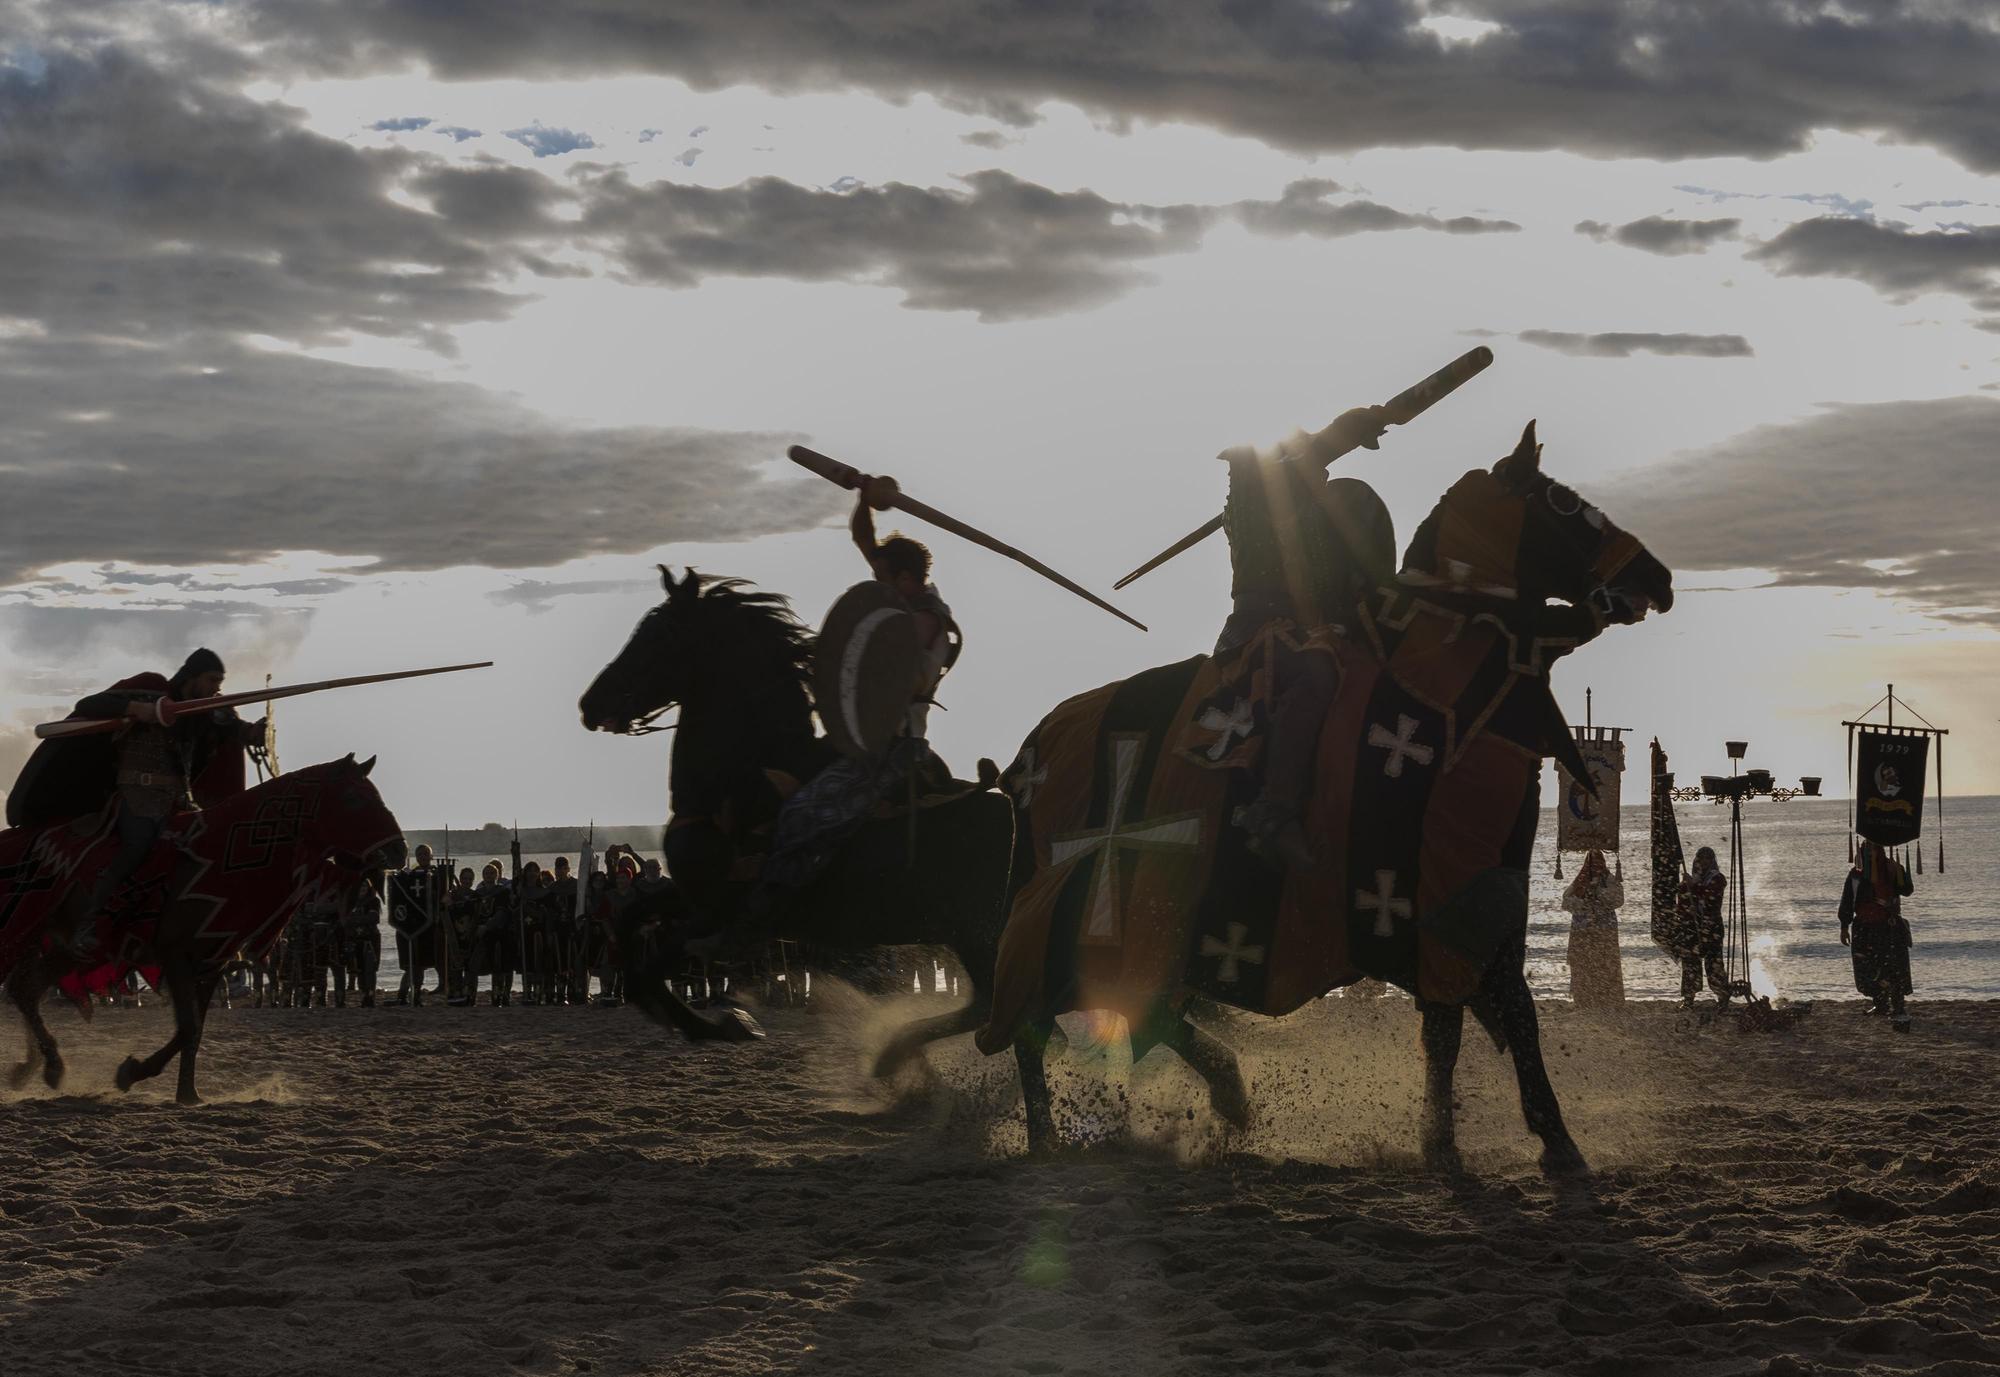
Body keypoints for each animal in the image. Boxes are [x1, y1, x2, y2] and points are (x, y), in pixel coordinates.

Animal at [0, 756, 406, 1104]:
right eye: (354, 798)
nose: (399, 852)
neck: (222, 858)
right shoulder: (175, 954)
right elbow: (188, 1026)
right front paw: (134, 1072)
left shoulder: (212, 963)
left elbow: (193, 1031)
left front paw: (186, 1093)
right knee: (24, 988)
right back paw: (48, 1067)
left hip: (63, 947)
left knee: (25, 988)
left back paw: (36, 1069)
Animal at [580, 564, 1016, 1072]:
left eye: (660, 634)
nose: (591, 703)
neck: (742, 778)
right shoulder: (691, 894)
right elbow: (631, 925)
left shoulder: (718, 913)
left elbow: (649, 970)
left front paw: (726, 1025)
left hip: (973, 931)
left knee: (990, 1006)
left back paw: (892, 1057)